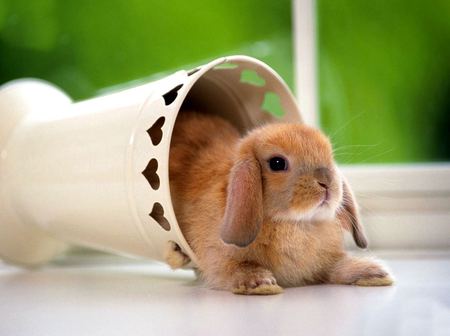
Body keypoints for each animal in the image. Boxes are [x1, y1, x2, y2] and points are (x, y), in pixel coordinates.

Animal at [166, 110, 394, 294]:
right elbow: (237, 268)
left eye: (329, 156)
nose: (326, 182)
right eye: (277, 163)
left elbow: (337, 267)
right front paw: (262, 283)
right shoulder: (218, 261)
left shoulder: (323, 263)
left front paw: (375, 273)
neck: (295, 223)